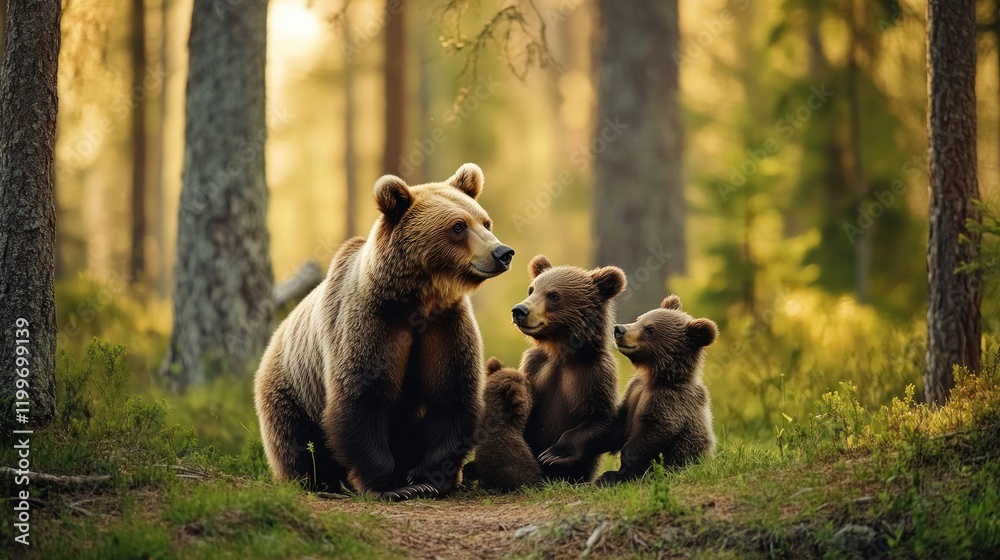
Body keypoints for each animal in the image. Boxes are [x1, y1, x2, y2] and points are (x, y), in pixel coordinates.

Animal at [253, 163, 514, 501]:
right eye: (458, 226)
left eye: (485, 221)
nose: (502, 252)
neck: (417, 300)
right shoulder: (371, 322)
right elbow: (362, 395)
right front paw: (388, 483)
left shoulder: (445, 325)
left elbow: (450, 394)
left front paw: (430, 477)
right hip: (292, 387)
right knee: (297, 441)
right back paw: (318, 480)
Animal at [511, 255, 626, 483]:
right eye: (531, 289)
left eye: (554, 295)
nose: (520, 311)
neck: (561, 353)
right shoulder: (535, 367)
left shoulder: (593, 374)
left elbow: (602, 420)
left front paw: (552, 454)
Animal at [593, 294, 718, 485]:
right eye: (639, 319)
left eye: (650, 329)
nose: (619, 329)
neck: (653, 378)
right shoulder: (634, 390)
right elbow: (619, 423)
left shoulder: (669, 399)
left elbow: (656, 430)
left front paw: (615, 474)